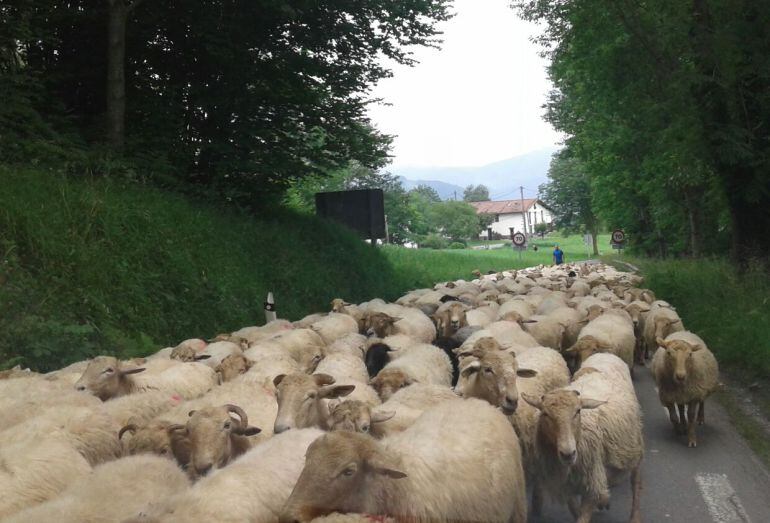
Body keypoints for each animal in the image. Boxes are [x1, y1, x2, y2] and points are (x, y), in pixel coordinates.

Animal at [520, 352, 640, 523]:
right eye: (545, 414)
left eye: (578, 411)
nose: (568, 453)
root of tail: (606, 354)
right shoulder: (565, 483)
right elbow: (573, 506)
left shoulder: (591, 480)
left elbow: (585, 512)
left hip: (635, 446)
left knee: (636, 482)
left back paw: (635, 516)